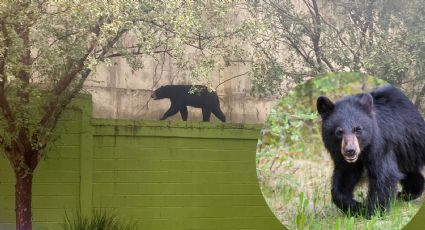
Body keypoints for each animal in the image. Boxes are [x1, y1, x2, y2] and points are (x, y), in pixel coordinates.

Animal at [316, 85, 424, 217]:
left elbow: (384, 175)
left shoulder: (381, 145)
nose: (350, 151)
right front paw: (356, 207)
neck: (363, 150)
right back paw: (407, 193)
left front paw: (373, 212)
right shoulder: (342, 157)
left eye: (358, 129)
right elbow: (345, 176)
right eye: (339, 132)